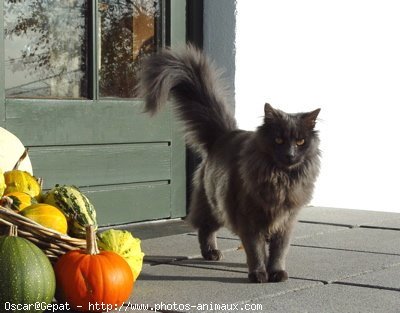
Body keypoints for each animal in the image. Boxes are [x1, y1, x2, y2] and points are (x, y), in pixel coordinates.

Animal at [139, 44, 320, 282]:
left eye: (300, 141)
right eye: (279, 140)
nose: (290, 154)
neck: (280, 179)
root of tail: (223, 135)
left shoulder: (285, 222)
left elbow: (278, 251)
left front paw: (277, 273)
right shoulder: (249, 218)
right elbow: (255, 250)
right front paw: (259, 274)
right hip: (216, 205)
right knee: (205, 228)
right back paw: (211, 253)